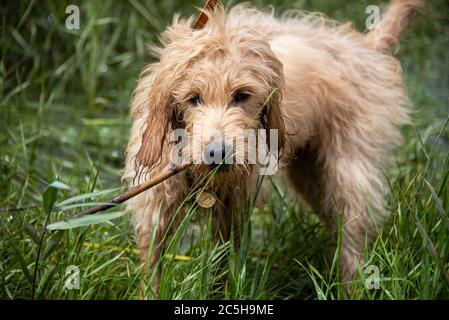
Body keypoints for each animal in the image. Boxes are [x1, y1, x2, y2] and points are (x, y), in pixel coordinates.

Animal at [122, 0, 424, 292]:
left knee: (353, 234)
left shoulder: (233, 209)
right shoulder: (155, 208)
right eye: (193, 98)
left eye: (242, 95)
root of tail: (361, 47)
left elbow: (223, 265)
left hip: (349, 173)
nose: (218, 154)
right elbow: (152, 267)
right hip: (310, 177)